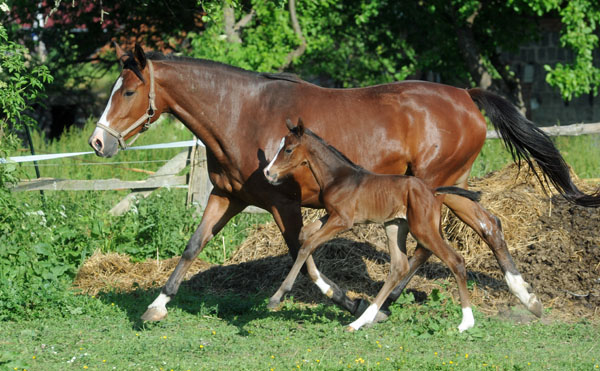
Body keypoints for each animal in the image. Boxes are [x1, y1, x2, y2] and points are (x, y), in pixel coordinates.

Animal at [264, 120, 480, 334]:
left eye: (288, 149)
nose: (268, 172)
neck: (338, 177)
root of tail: (432, 191)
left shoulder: (343, 220)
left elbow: (308, 244)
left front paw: (276, 297)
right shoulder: (332, 215)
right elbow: (304, 235)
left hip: (422, 229)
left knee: (455, 260)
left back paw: (466, 322)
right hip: (395, 226)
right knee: (398, 268)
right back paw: (359, 321)